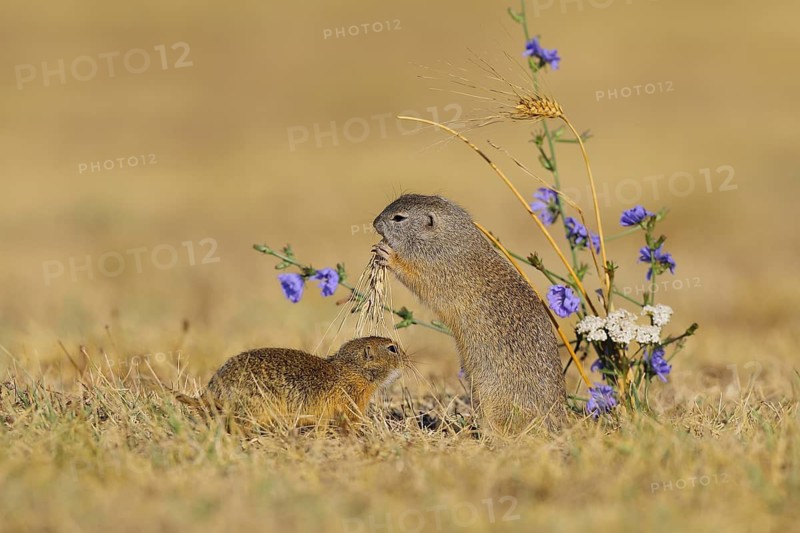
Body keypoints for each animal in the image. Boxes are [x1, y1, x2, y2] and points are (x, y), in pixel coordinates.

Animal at [372, 194, 565, 433]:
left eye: (399, 218)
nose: (375, 222)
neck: (451, 240)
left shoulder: (437, 272)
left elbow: (414, 275)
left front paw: (388, 255)